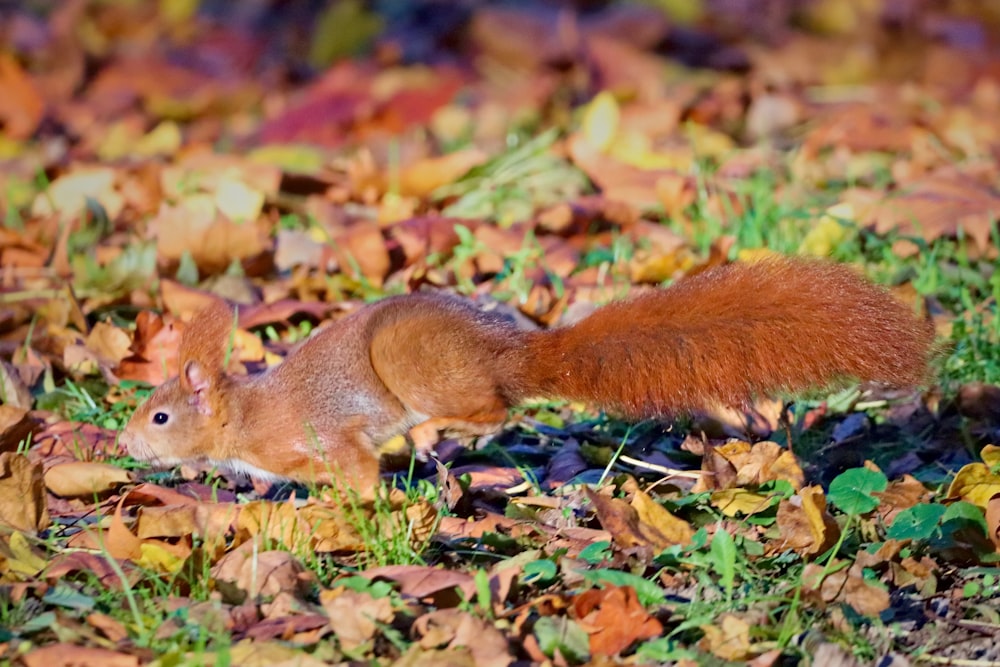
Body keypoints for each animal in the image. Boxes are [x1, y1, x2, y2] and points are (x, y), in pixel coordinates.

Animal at [121, 258, 932, 490]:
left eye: (160, 415)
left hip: (419, 374)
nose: (123, 445)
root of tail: (504, 349)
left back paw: (437, 434)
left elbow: (352, 472)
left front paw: (344, 511)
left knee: (492, 409)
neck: (246, 417)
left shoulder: (321, 437)